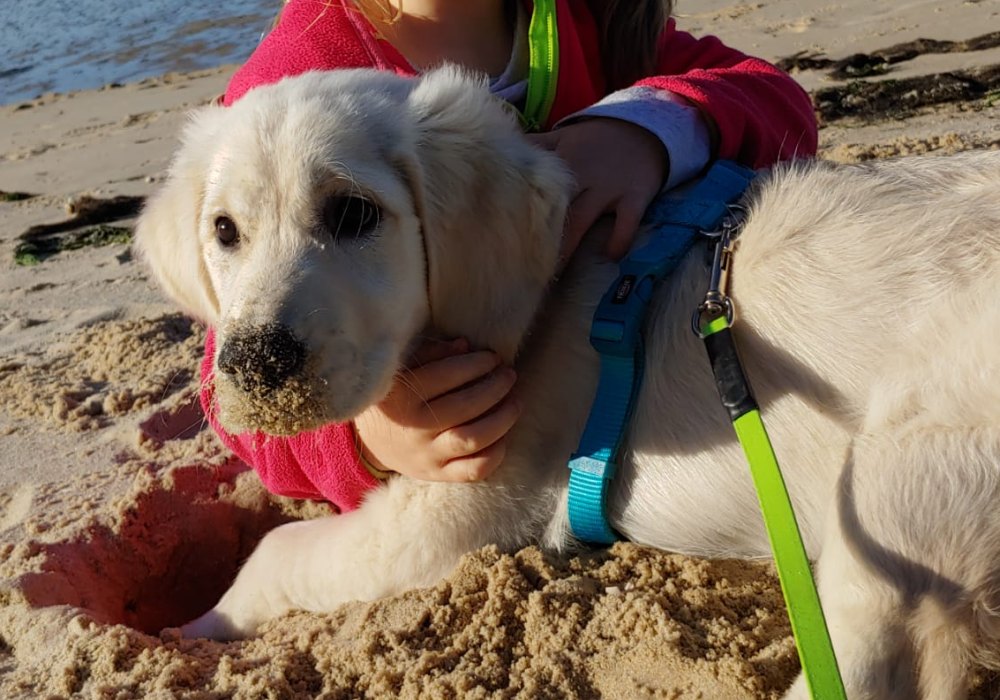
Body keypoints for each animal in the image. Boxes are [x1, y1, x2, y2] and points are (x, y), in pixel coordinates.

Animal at [136, 66, 1000, 699]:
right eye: (224, 231)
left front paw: (195, 625)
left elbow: (274, 552)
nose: (253, 365)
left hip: (906, 485)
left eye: (352, 214)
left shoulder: (461, 510)